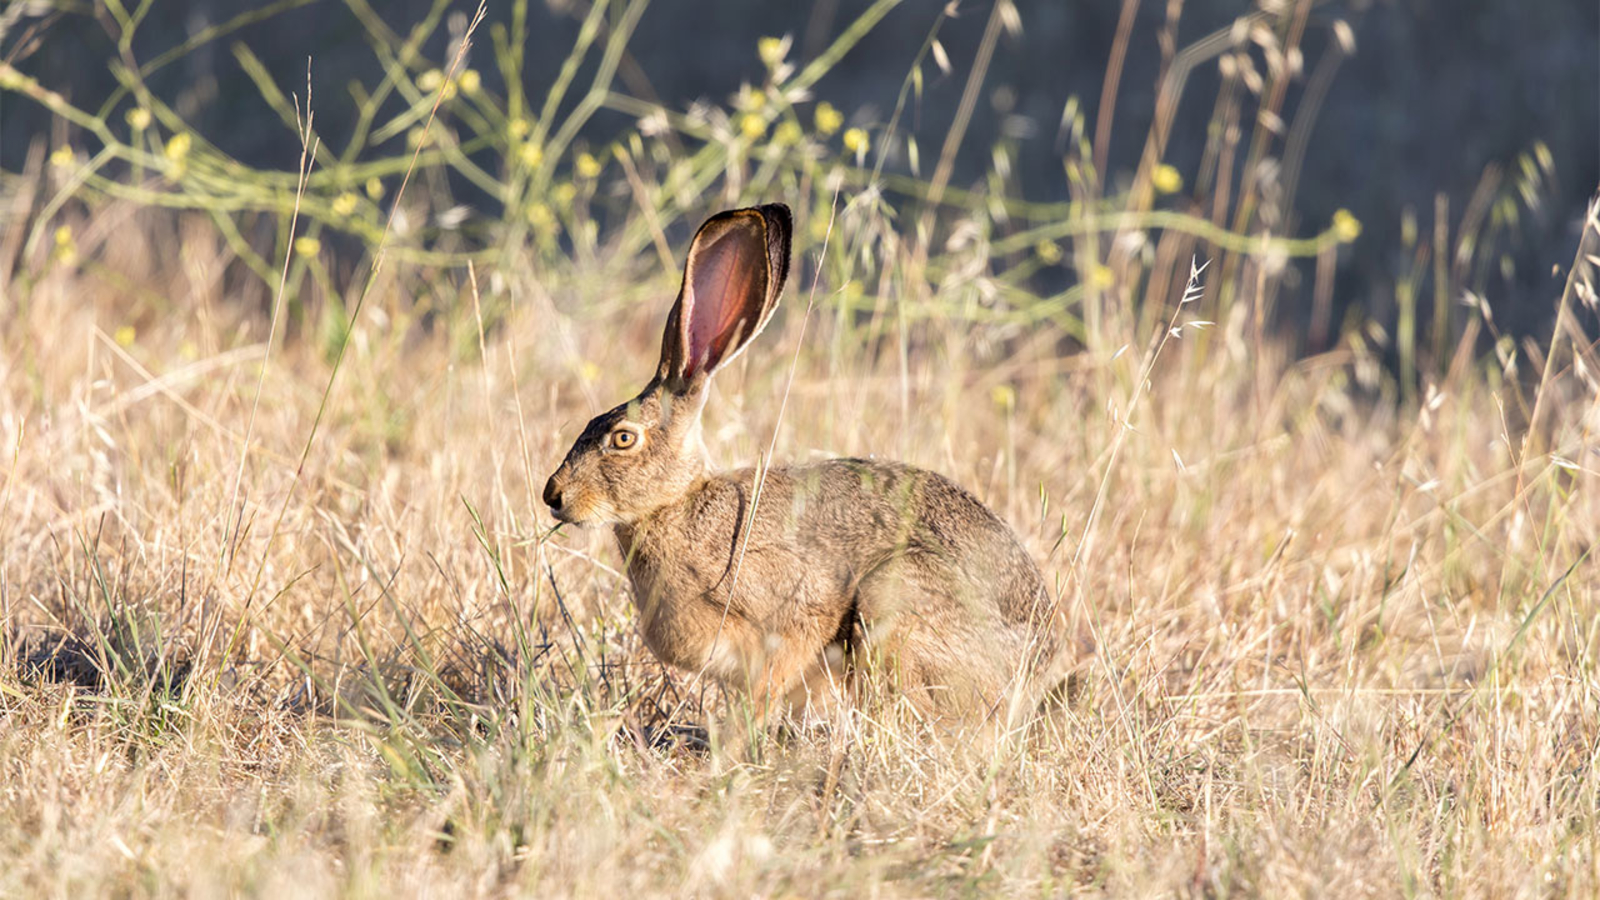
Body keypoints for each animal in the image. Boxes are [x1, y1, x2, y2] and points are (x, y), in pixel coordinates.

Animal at [540, 203, 1075, 749]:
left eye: (623, 438)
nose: (553, 495)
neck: (679, 504)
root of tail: (1032, 673)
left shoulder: (794, 614)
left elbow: (768, 688)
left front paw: (730, 744)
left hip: (894, 600)